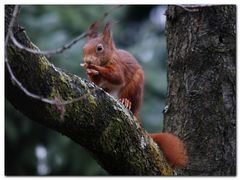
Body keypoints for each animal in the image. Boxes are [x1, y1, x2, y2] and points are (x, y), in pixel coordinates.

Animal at [80, 22, 188, 167]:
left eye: (99, 48)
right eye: (84, 48)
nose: (88, 61)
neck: (108, 59)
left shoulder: (118, 66)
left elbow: (117, 77)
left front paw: (96, 68)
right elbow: (96, 81)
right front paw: (89, 71)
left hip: (134, 87)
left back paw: (126, 102)